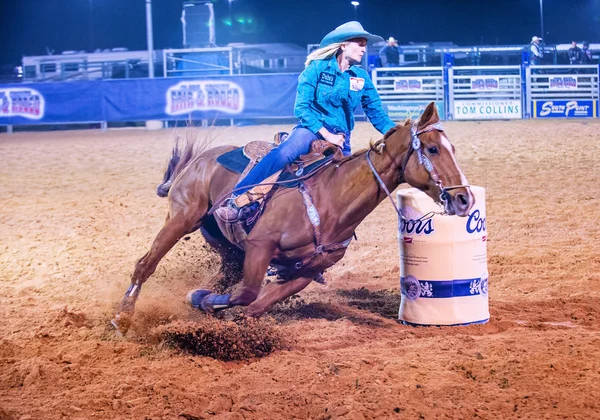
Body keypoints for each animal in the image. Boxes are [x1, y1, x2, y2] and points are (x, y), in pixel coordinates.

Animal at [111, 102, 474, 334]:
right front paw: (202, 301)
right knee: (145, 264)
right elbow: (247, 294)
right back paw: (122, 317)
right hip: (183, 217)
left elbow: (254, 305)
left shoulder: (305, 272)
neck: (331, 200)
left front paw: (212, 309)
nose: (464, 198)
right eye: (432, 149)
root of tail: (199, 159)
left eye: (453, 148)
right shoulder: (260, 246)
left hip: (226, 246)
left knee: (222, 275)